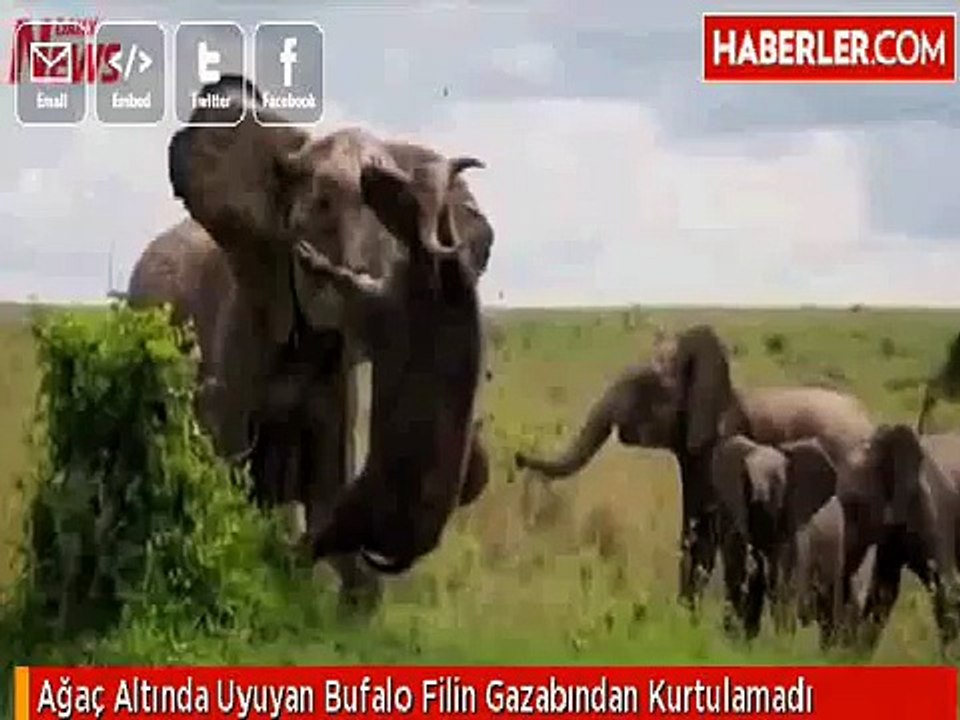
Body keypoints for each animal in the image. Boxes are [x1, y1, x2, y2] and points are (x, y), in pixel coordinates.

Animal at [295, 155, 490, 573]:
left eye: (406, 194)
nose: (368, 169)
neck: (441, 276)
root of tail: (414, 547)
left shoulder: (377, 306)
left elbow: (346, 280)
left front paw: (311, 256)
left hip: (348, 513)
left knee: (311, 545)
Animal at [710, 434, 838, 640]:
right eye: (747, 476)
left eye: (777, 481)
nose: (758, 498)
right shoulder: (732, 515)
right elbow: (738, 576)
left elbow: (782, 586)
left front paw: (782, 643)